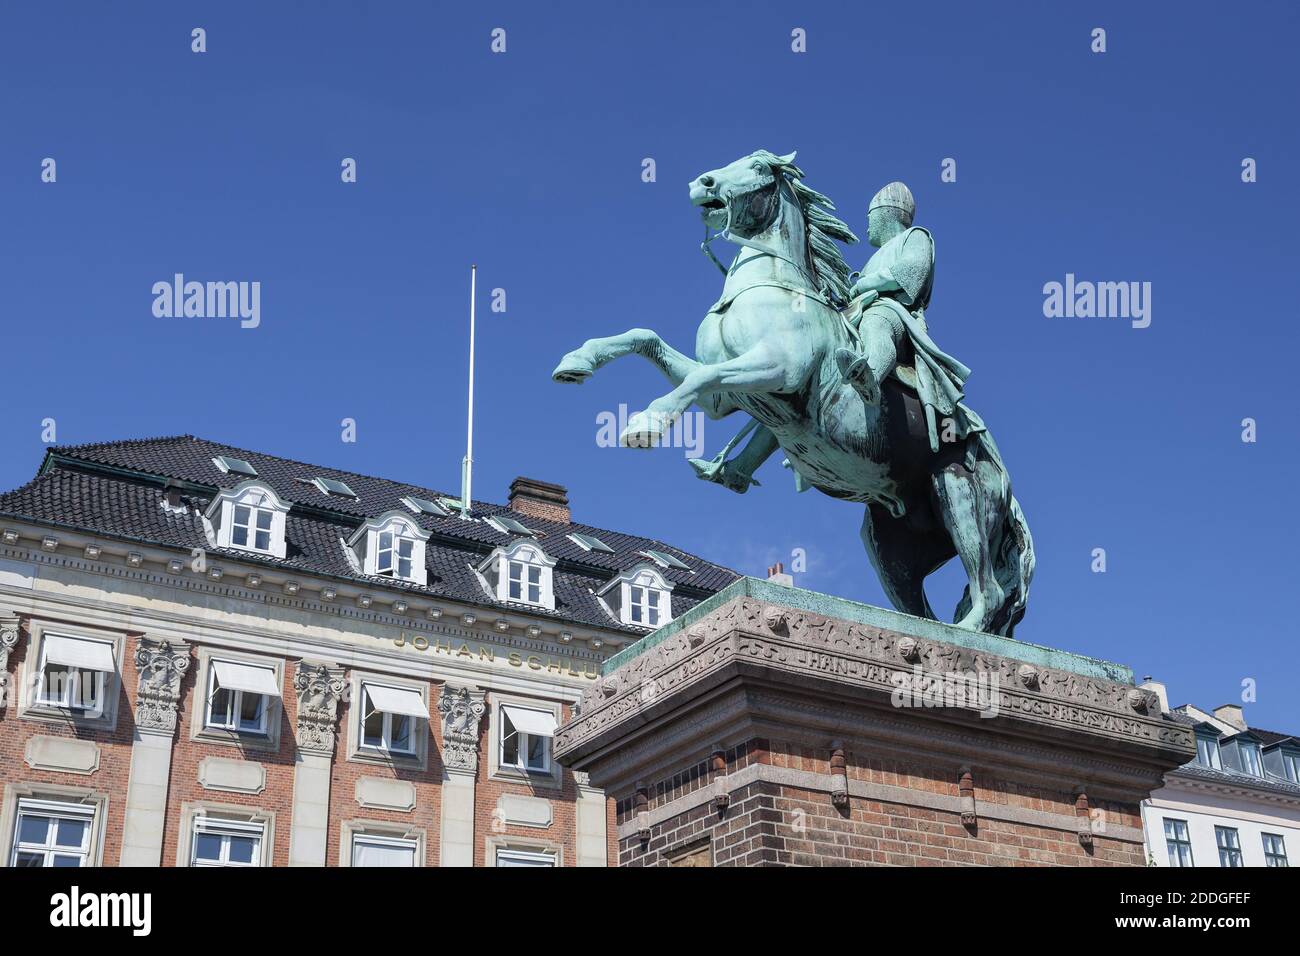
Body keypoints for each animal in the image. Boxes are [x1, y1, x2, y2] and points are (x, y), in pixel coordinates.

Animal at [551, 149, 1034, 639]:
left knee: (989, 590)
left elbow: (698, 379)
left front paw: (646, 423)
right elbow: (647, 339)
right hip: (889, 546)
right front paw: (577, 361)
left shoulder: (776, 369)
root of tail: (1007, 487)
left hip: (958, 492)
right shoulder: (723, 401)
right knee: (923, 610)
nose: (702, 183)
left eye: (760, 168)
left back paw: (967, 632)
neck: (774, 288)